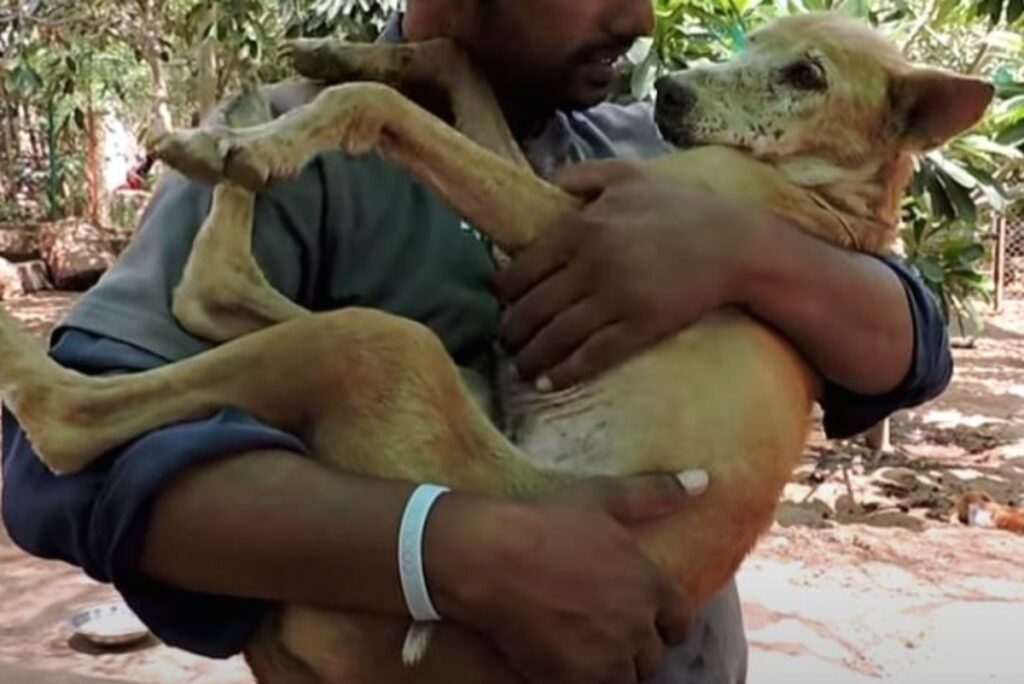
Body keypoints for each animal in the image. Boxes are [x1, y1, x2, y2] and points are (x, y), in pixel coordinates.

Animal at [0, 12, 991, 684]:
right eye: (750, 42)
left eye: (804, 74)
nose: (667, 92)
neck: (827, 200)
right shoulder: (554, 193)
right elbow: (453, 63)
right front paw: (340, 56)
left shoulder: (580, 226)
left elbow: (382, 111)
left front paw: (298, 119)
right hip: (445, 378)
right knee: (213, 300)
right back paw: (237, 136)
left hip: (386, 361)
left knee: (82, 405)